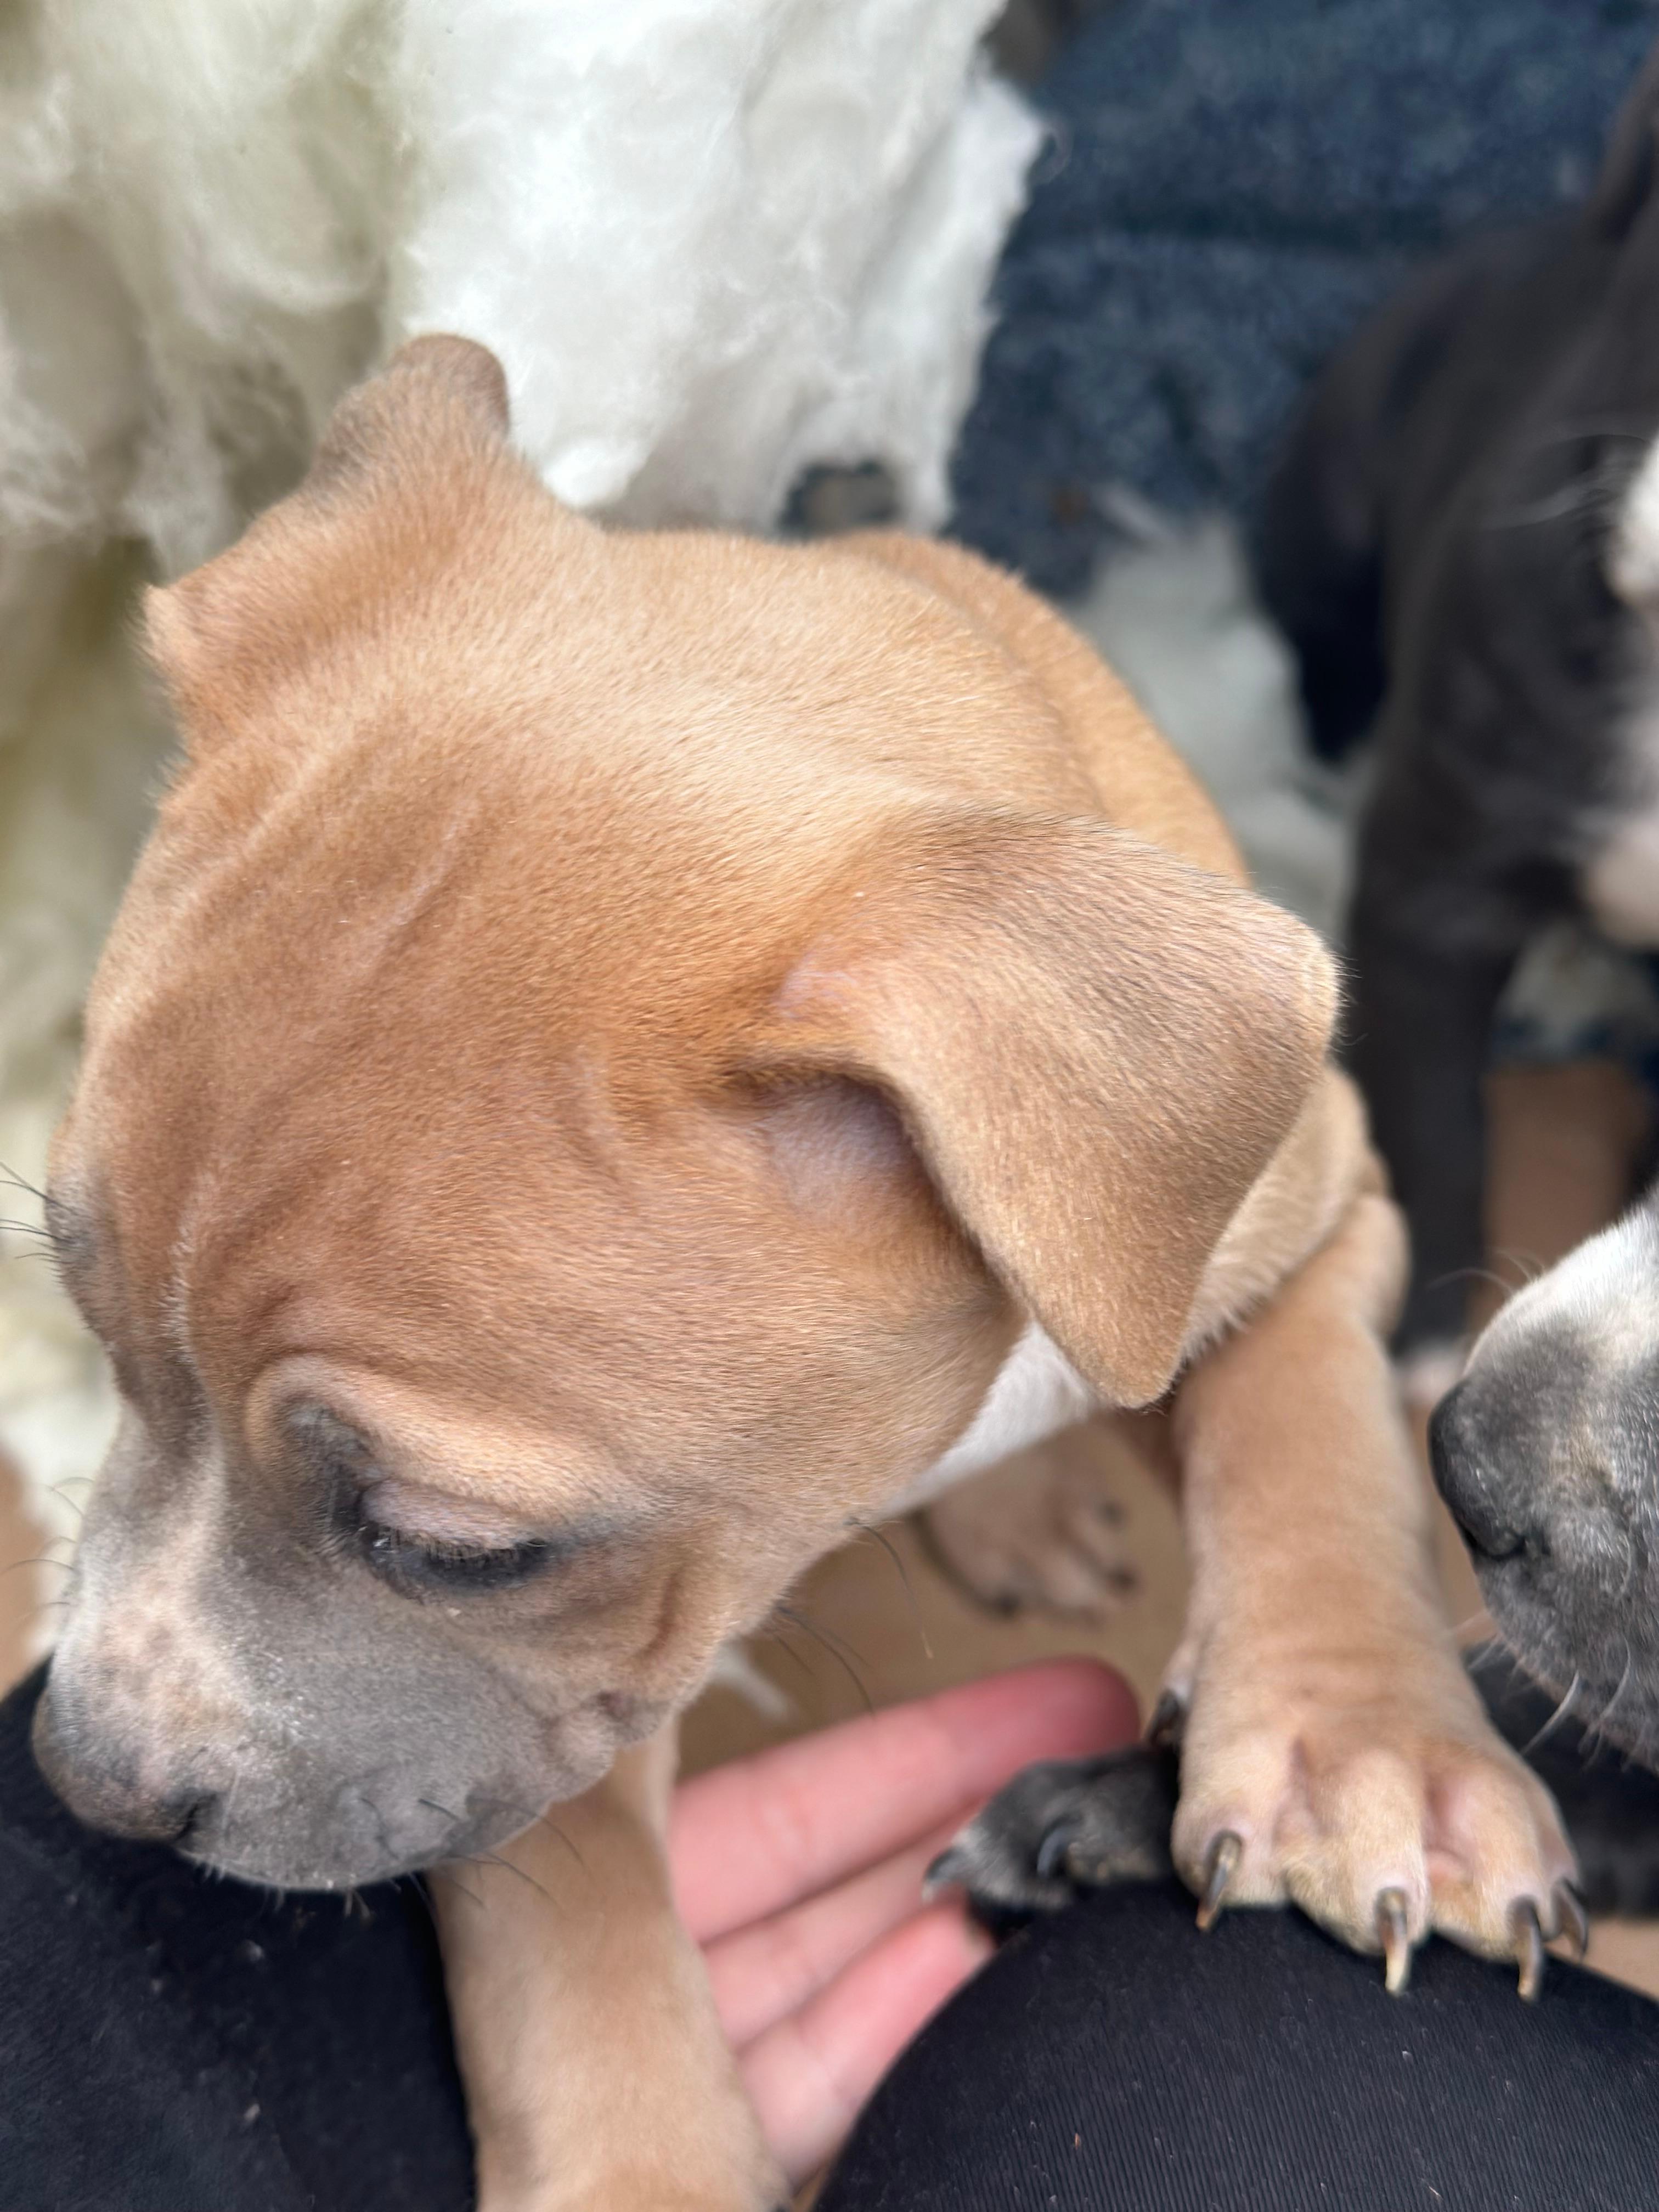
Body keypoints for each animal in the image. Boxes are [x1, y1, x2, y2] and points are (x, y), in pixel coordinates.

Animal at [36, 336, 1575, 2203]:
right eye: (89, 1328)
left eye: (454, 1550)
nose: (84, 1778)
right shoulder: (544, 1712)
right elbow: (569, 1900)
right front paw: (642, 2159)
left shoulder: (1325, 1213)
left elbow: (1315, 1435)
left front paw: (1372, 1748)